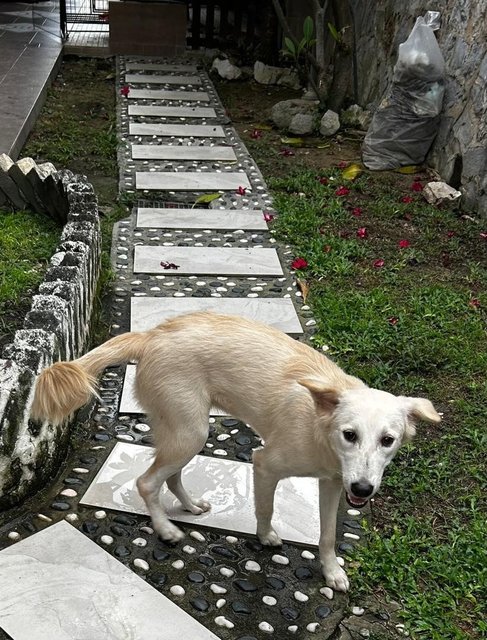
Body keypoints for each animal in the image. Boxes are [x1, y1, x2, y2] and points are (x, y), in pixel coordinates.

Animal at [31, 310, 442, 592]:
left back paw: (189, 507)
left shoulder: (331, 484)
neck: (319, 428)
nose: (363, 490)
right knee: (148, 482)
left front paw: (332, 572)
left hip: (185, 430)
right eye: (350, 434)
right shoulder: (265, 464)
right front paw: (266, 537)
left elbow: (327, 535)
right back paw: (165, 529)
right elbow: (266, 507)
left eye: (388, 440)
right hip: (191, 432)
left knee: (171, 477)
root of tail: (151, 335)